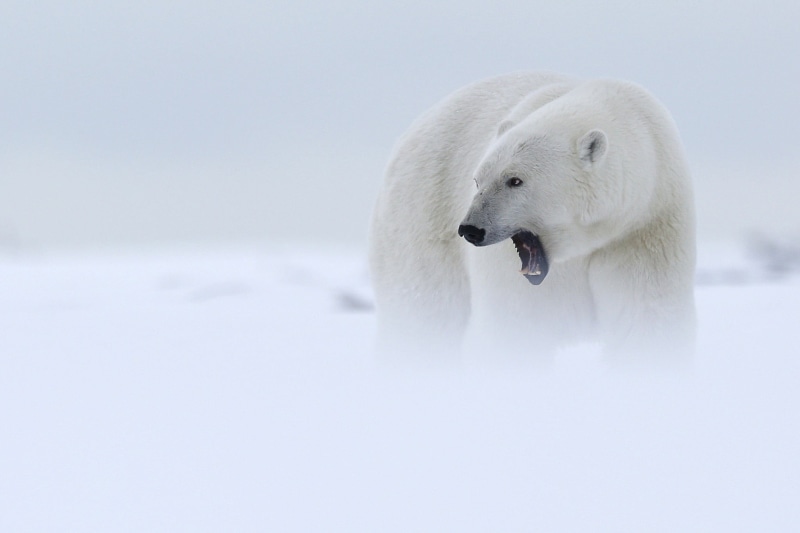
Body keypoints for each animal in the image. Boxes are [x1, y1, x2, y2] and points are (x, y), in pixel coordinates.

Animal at [369, 72, 696, 362]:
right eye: (477, 180)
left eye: (515, 180)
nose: (471, 229)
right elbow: (517, 326)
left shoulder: (645, 229)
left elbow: (644, 317)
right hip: (420, 217)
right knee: (424, 312)